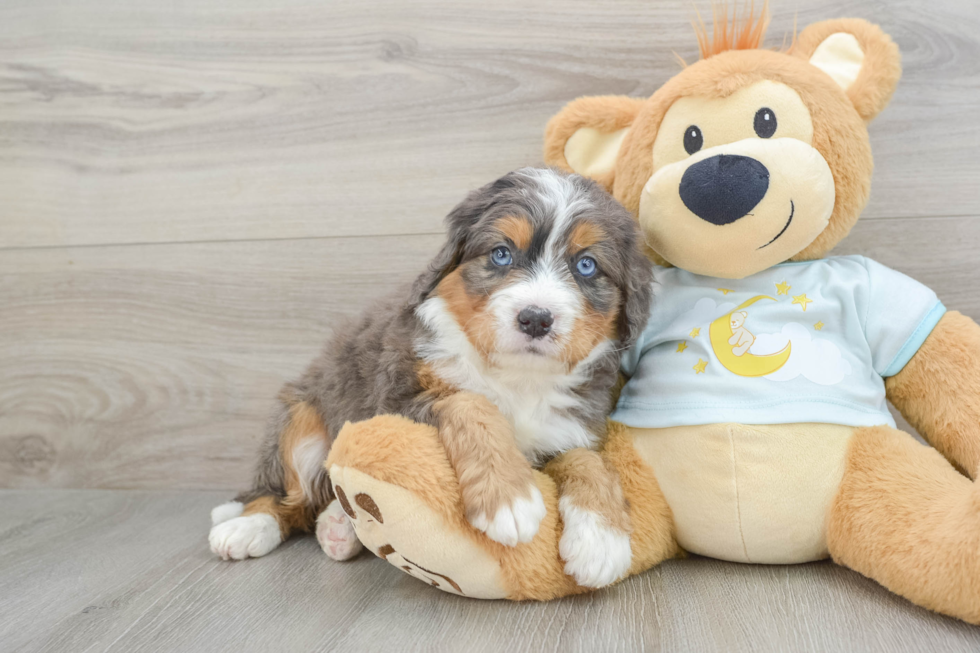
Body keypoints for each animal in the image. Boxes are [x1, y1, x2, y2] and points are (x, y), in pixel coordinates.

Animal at [208, 167, 656, 584]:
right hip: (299, 420)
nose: (535, 319)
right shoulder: (398, 398)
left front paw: (602, 540)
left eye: (586, 265)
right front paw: (508, 499)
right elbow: (470, 401)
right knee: (285, 495)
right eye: (501, 254)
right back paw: (247, 526)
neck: (518, 378)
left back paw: (338, 526)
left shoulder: (573, 426)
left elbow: (588, 461)